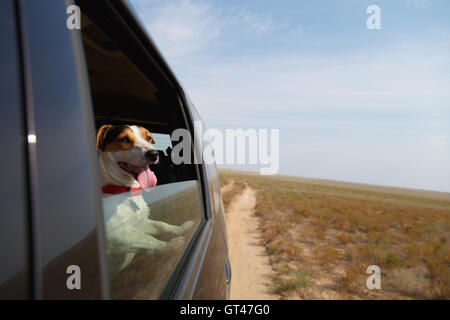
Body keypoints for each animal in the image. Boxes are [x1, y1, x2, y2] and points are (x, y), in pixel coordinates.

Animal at [96, 125, 193, 276]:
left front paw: (180, 229)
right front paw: (169, 246)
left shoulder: (141, 224)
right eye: (124, 139)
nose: (154, 154)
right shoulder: (116, 237)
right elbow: (148, 239)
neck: (127, 194)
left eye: (148, 137)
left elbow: (162, 225)